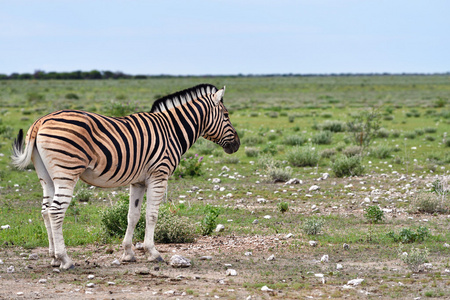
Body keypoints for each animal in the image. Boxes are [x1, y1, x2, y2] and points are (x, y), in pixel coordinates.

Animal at [11, 84, 239, 270]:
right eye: (227, 115)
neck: (172, 130)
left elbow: (133, 215)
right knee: (56, 211)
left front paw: (128, 253)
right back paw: (65, 259)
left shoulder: (138, 181)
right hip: (67, 171)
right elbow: (152, 215)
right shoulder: (159, 175)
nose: (236, 145)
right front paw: (152, 252)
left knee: (45, 211)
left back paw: (53, 258)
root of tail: (40, 121)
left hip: (46, 176)